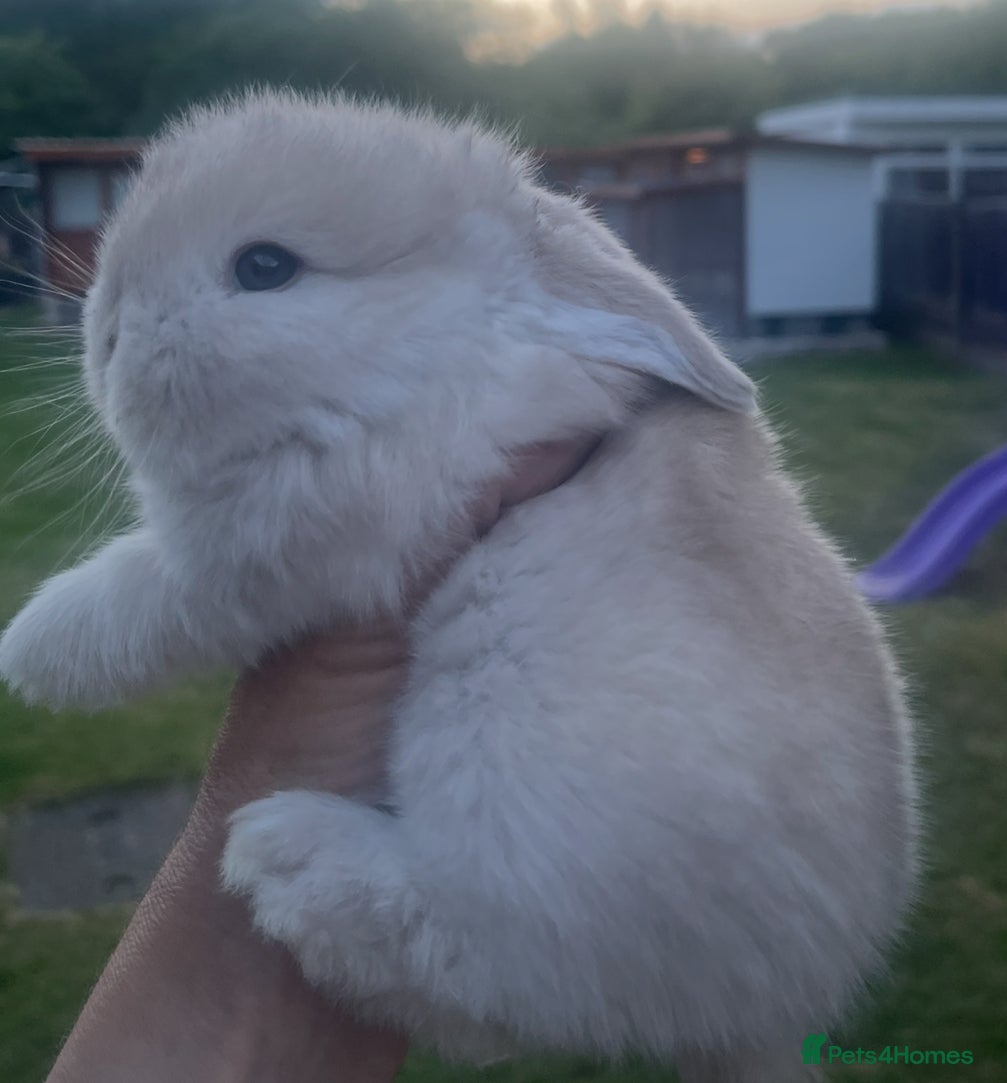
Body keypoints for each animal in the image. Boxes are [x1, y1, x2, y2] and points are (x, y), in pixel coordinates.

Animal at [0, 89, 919, 1081]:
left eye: (264, 267)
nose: (104, 339)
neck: (431, 354)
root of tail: (775, 1008)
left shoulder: (265, 557)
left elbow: (137, 598)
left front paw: (26, 652)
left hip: (527, 815)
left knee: (487, 966)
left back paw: (283, 856)